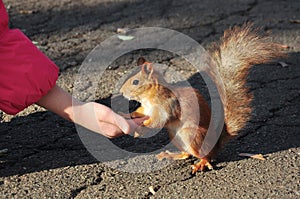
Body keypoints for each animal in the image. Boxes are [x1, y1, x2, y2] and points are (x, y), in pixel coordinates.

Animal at [119, 23, 284, 174]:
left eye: (135, 82)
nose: (121, 92)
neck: (149, 97)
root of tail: (217, 142)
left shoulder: (168, 105)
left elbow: (158, 121)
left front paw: (140, 128)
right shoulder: (146, 108)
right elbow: (139, 113)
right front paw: (125, 115)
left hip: (192, 135)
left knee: (206, 155)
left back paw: (201, 163)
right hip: (176, 137)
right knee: (187, 154)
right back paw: (171, 155)